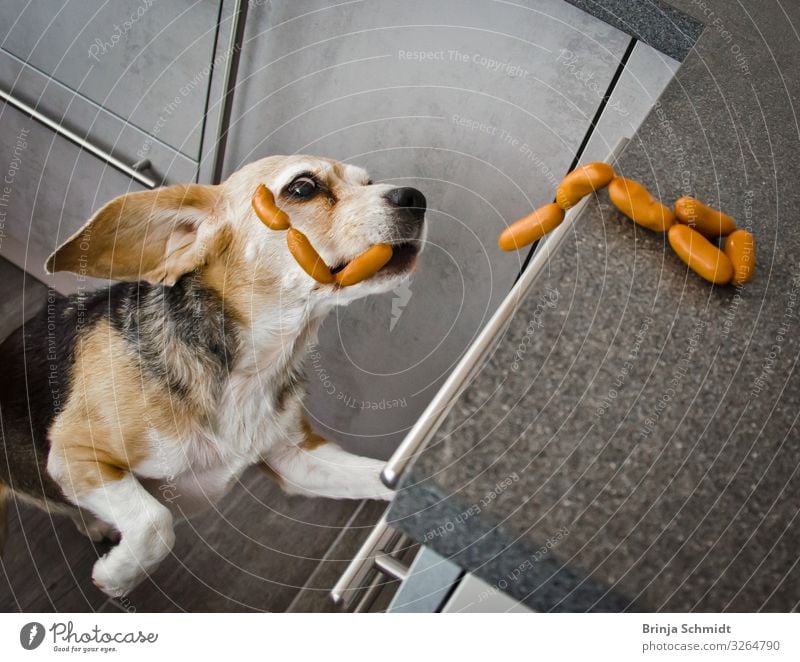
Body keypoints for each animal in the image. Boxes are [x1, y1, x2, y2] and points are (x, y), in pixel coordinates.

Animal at [0, 154, 424, 596]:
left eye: (368, 182)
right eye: (303, 188)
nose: (416, 198)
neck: (249, 371)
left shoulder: (296, 458)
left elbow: (376, 477)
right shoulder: (73, 453)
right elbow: (156, 523)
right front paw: (118, 576)